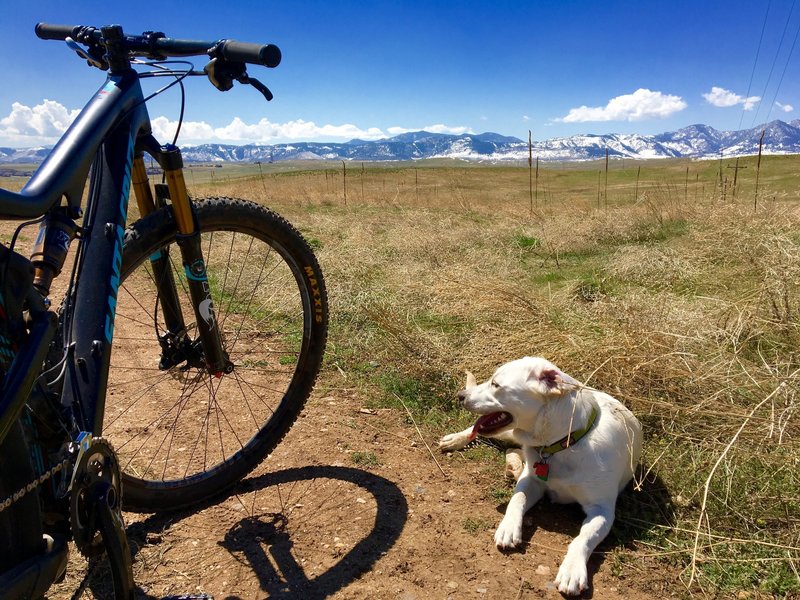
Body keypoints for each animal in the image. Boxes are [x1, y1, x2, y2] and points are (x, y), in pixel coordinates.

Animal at [440, 356, 640, 596]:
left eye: (495, 384)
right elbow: (516, 500)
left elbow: (582, 538)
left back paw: (513, 464)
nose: (461, 395)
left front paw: (572, 570)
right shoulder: (531, 481)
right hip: (509, 432)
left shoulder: (602, 510)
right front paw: (508, 528)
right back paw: (457, 439)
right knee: (479, 432)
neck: (563, 444)